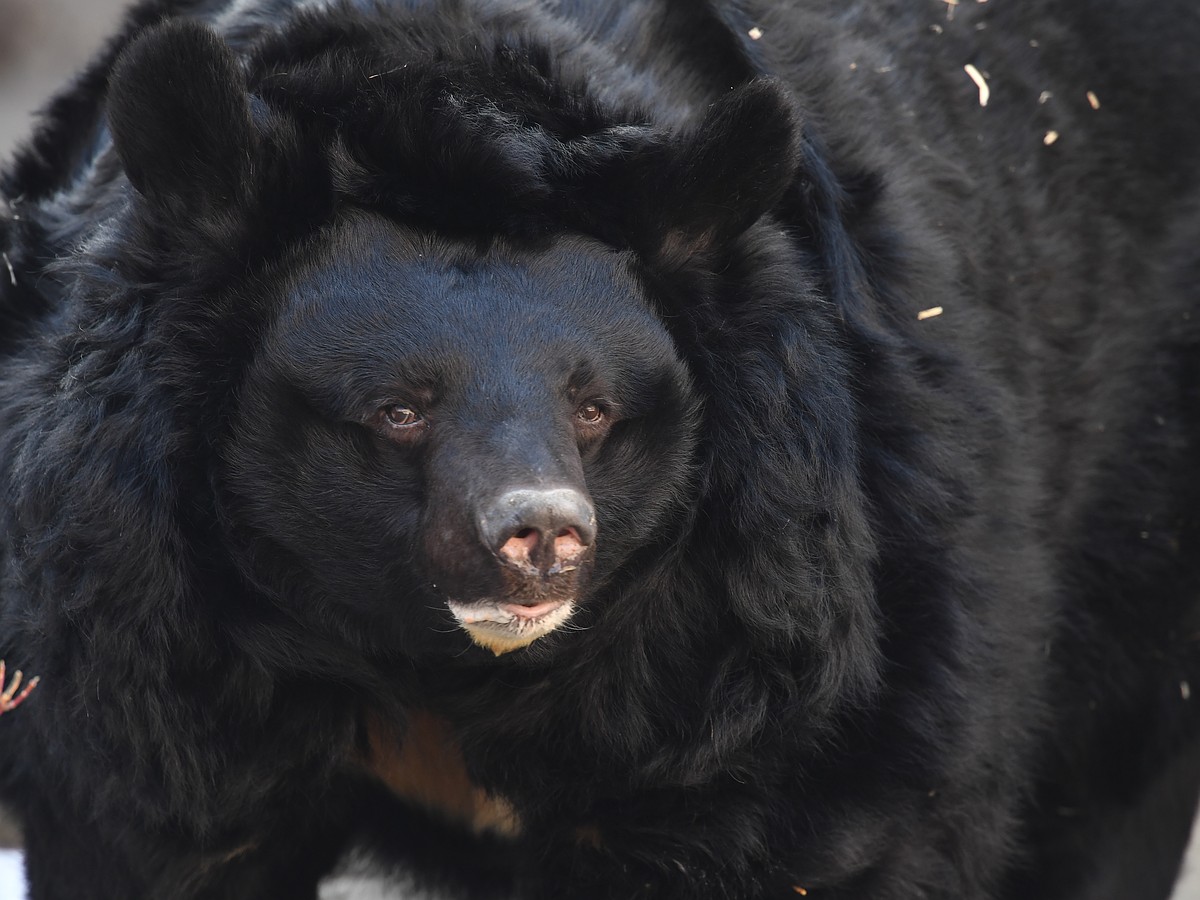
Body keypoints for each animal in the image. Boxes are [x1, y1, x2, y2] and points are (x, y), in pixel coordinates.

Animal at [2, 0, 1200, 897]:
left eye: (595, 409)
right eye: (397, 411)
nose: (540, 535)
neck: (429, 663)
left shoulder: (778, 625)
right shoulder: (146, 626)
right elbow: (161, 822)